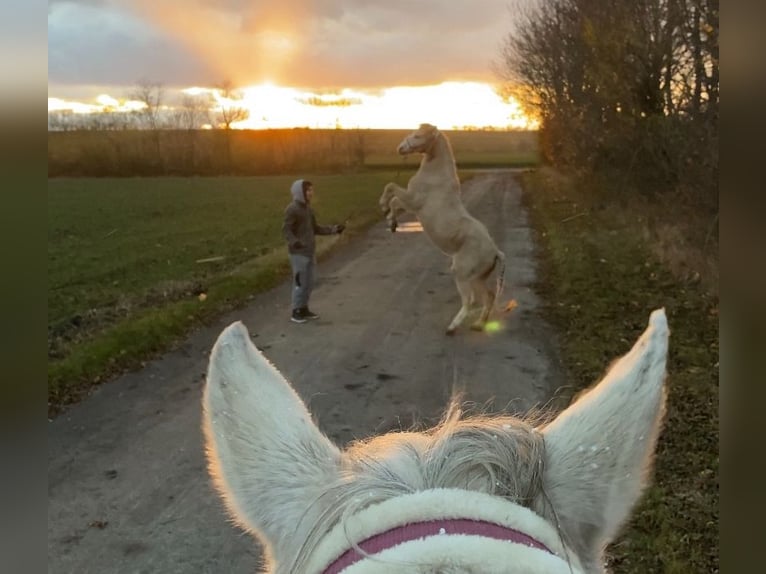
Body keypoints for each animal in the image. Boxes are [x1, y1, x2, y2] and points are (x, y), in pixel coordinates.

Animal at [380, 124, 508, 336]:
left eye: (418, 136)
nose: (400, 148)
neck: (435, 175)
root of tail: (495, 251)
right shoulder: (410, 204)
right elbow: (394, 201)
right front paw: (391, 221)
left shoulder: (414, 201)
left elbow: (393, 193)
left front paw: (385, 210)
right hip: (478, 278)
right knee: (488, 297)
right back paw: (478, 325)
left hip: (463, 274)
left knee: (470, 301)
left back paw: (452, 327)